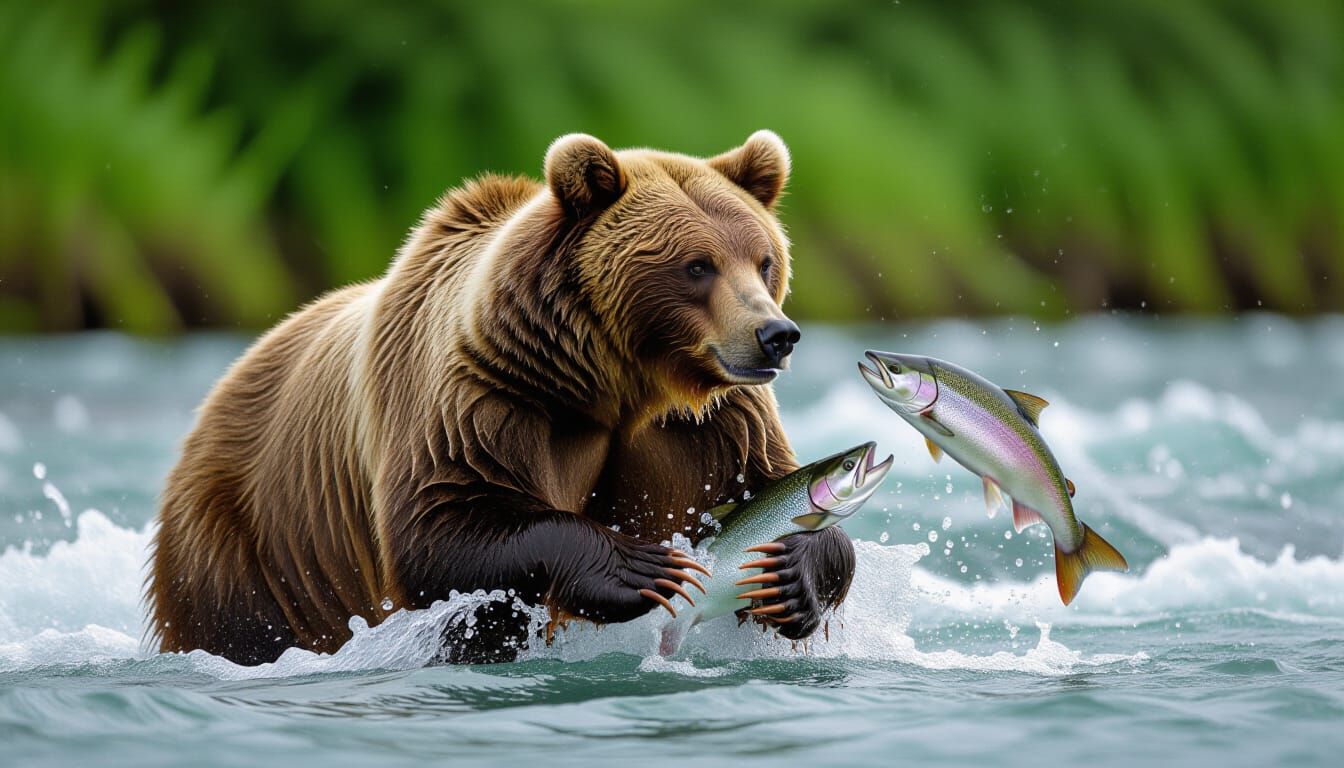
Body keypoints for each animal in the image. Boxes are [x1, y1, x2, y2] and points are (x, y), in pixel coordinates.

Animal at [146, 131, 856, 665]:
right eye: (697, 265)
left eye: (763, 259)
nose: (776, 335)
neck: (616, 385)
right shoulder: (487, 399)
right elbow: (444, 528)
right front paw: (637, 567)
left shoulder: (709, 422)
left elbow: (763, 485)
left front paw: (792, 568)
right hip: (250, 546)